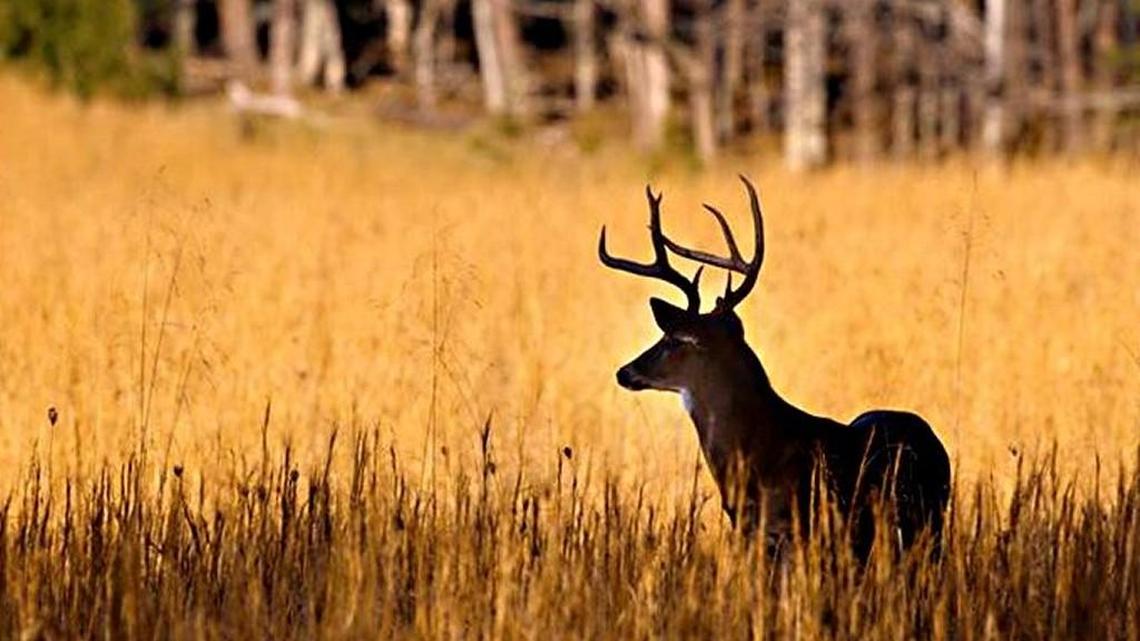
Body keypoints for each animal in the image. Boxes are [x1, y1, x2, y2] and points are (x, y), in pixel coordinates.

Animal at [599, 176, 951, 559]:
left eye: (673, 338)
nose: (624, 371)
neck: (759, 456)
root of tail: (934, 438)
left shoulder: (798, 531)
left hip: (927, 525)